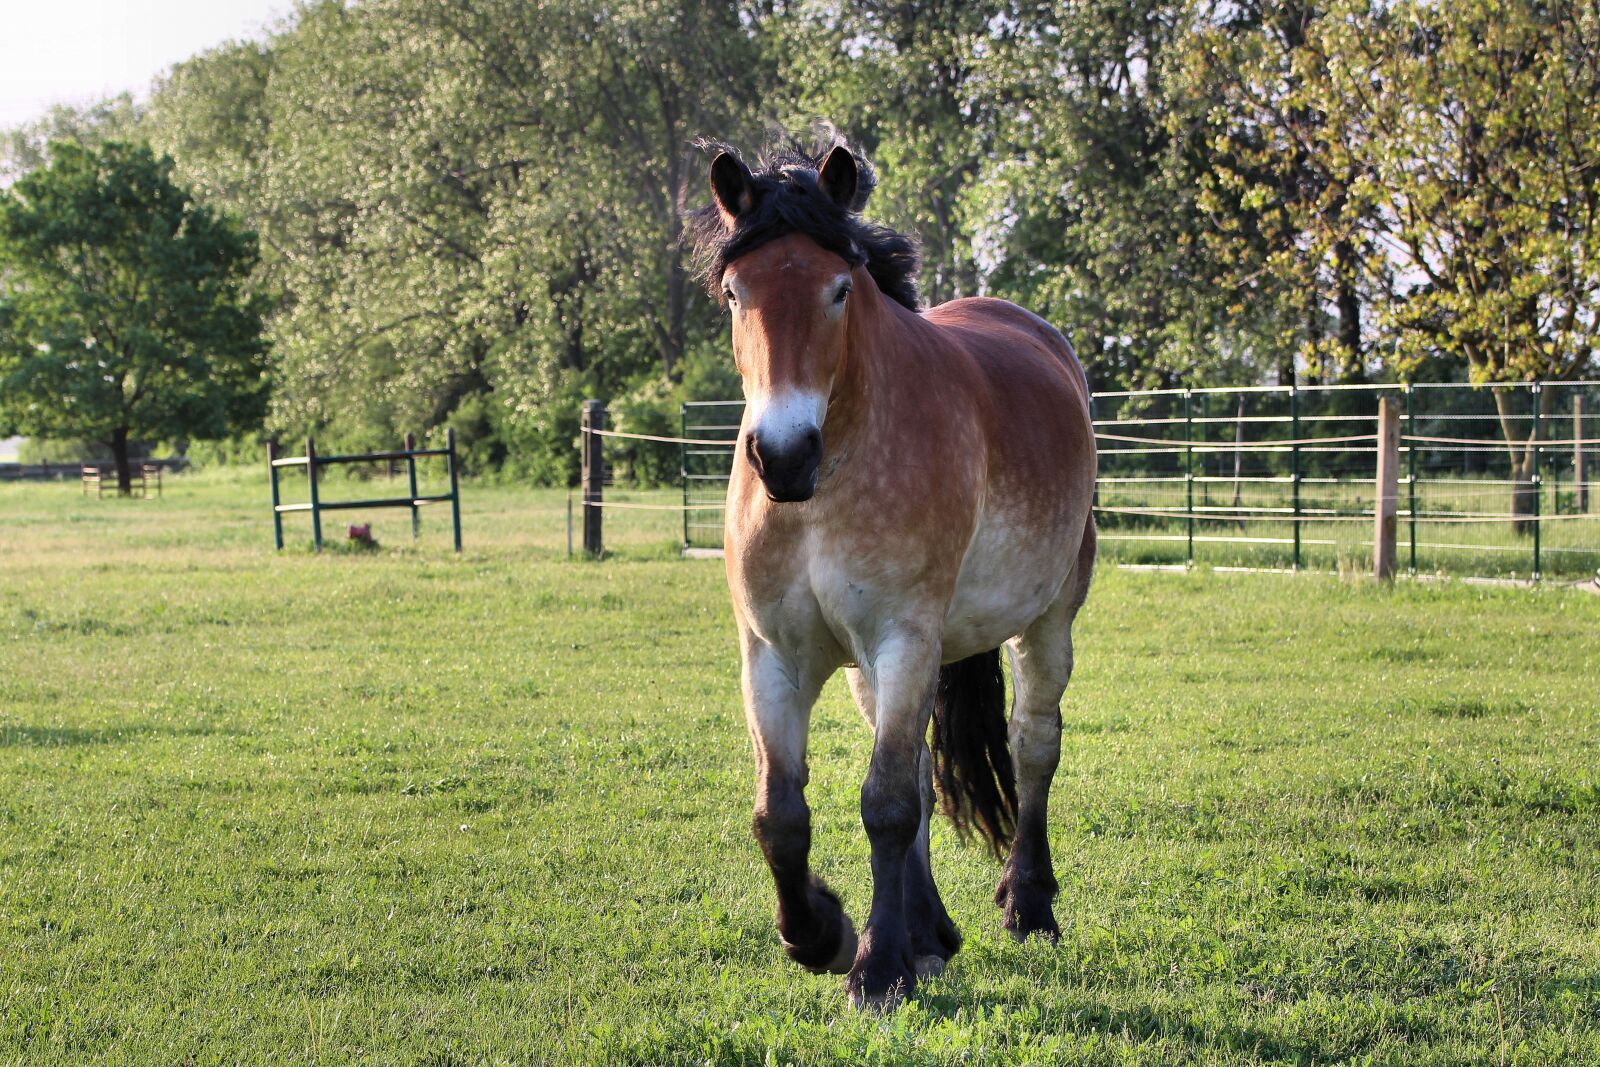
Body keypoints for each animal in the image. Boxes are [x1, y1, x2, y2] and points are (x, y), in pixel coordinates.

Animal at [689, 139, 1098, 1009]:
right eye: (736, 293)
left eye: (839, 288)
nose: (783, 454)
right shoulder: (774, 656)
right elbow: (782, 815)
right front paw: (823, 934)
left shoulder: (904, 637)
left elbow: (885, 803)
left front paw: (875, 968)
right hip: (876, 667)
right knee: (915, 766)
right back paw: (929, 930)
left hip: (1046, 620)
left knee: (1033, 746)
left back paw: (1029, 905)